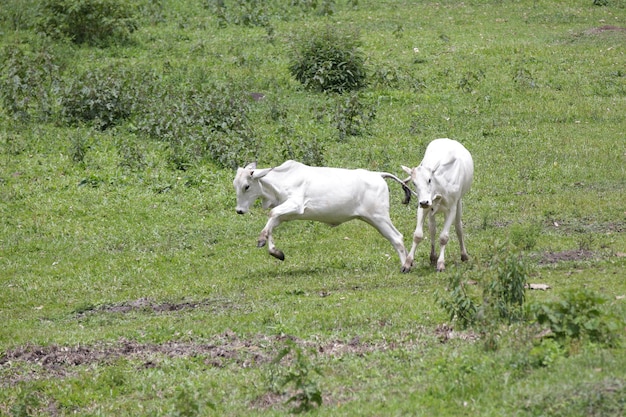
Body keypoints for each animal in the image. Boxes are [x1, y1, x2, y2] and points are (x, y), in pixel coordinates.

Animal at [232, 161, 412, 272]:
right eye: (235, 185)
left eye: (246, 186)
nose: (239, 210)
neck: (280, 181)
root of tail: (378, 175)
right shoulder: (286, 215)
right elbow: (272, 223)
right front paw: (275, 251)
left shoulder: (296, 204)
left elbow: (271, 214)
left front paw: (262, 239)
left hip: (379, 217)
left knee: (397, 237)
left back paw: (406, 266)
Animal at [400, 138, 472, 272]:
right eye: (414, 183)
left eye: (429, 180)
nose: (424, 202)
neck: (440, 186)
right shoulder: (422, 207)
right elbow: (418, 235)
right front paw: (407, 263)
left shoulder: (452, 208)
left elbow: (444, 237)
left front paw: (441, 263)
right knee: (432, 229)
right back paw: (433, 256)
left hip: (458, 202)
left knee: (458, 227)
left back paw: (464, 255)